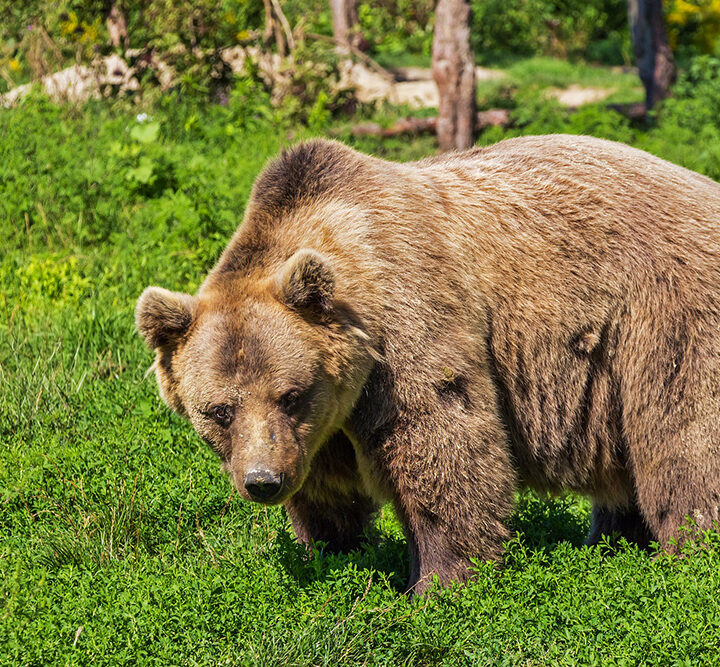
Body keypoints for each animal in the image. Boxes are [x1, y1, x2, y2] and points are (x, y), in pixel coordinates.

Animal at [135, 133, 720, 592]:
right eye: (219, 411)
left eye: (290, 394)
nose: (262, 481)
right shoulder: (322, 426)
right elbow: (327, 490)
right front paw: (330, 551)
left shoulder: (409, 322)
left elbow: (442, 445)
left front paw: (438, 583)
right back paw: (610, 542)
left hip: (666, 318)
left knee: (683, 441)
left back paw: (688, 554)